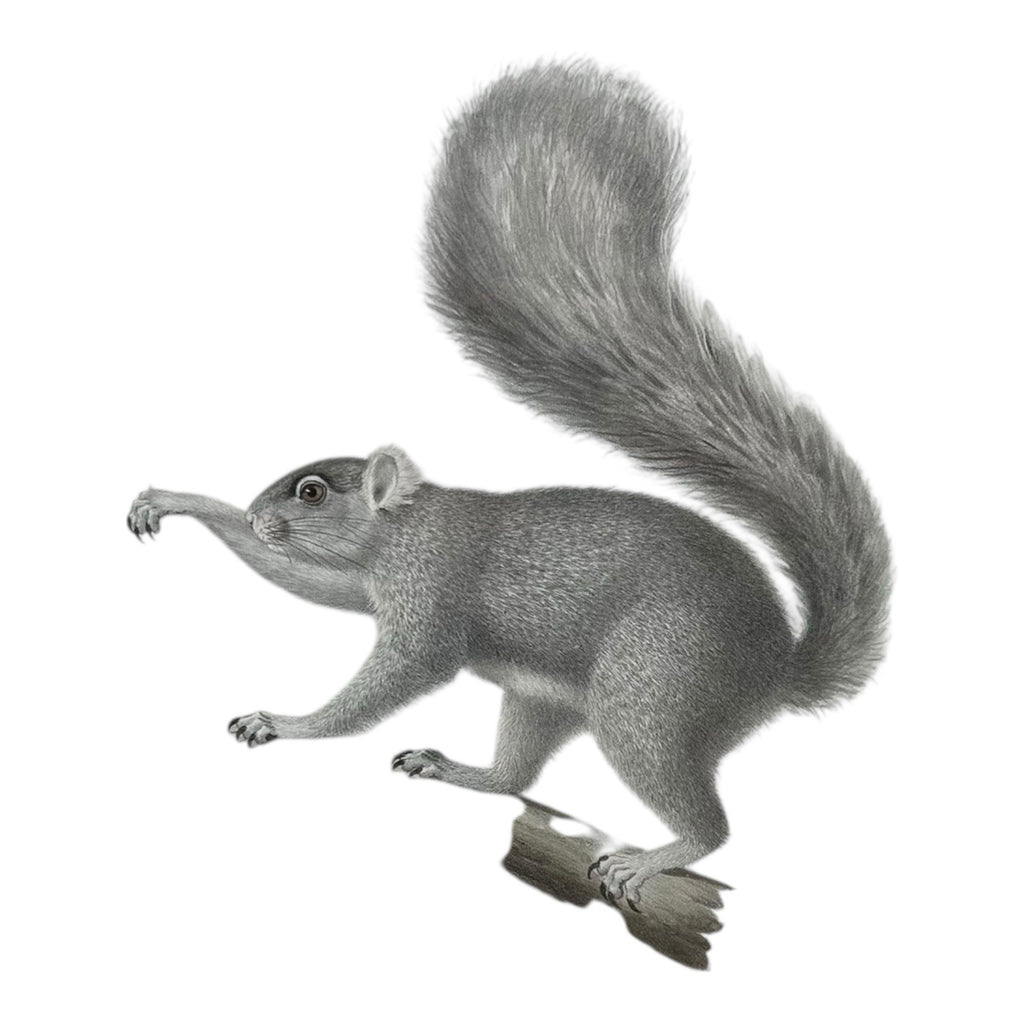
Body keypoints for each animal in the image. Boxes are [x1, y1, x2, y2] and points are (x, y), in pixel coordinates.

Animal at [127, 62, 891, 908]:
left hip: (652, 689)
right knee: (513, 776)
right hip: (544, 699)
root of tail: (777, 672)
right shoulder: (370, 582)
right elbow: (303, 582)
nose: (263, 513)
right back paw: (456, 768)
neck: (407, 524)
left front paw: (287, 723)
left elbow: (397, 675)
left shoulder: (429, 585)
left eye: (314, 492)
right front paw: (176, 502)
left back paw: (653, 857)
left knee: (710, 822)